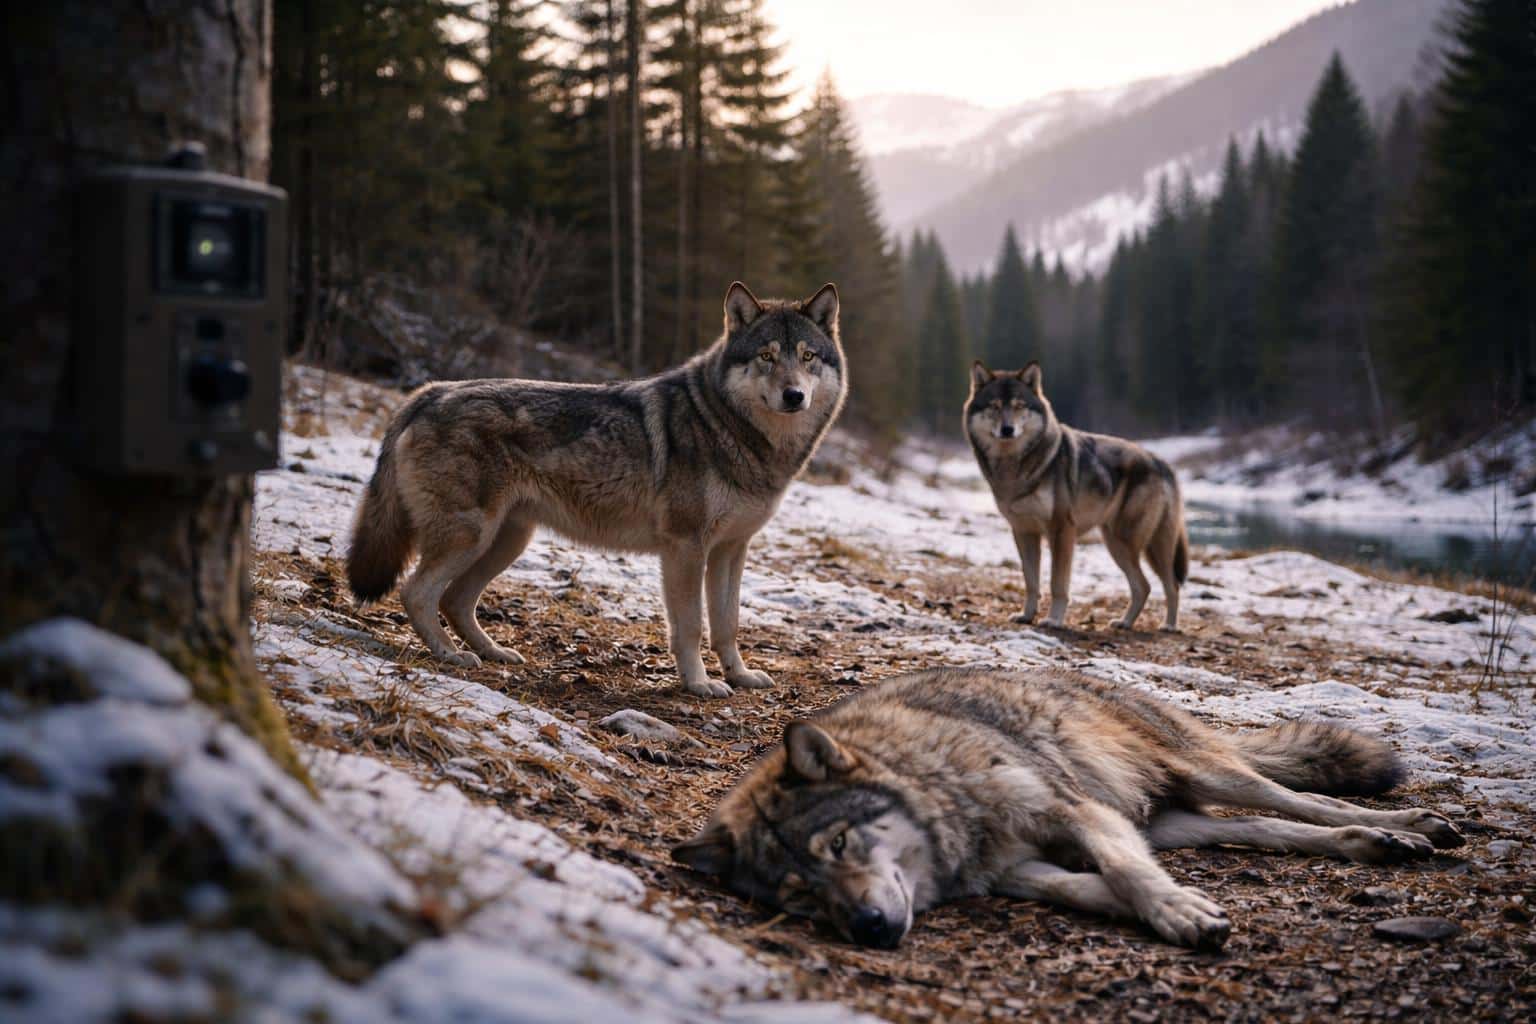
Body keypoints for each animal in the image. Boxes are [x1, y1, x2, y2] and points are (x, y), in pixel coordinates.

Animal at [346, 282, 845, 698]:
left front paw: (739, 676)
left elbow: (728, 624)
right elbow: (690, 627)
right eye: (766, 356)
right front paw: (699, 684)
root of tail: (429, 391)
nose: (794, 396)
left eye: (807, 357)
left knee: (455, 599)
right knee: (417, 593)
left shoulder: (731, 550)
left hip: (506, 541)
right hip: (472, 537)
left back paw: (494, 652)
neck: (732, 430)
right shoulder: (685, 548)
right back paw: (450, 655)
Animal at [674, 667, 1463, 950]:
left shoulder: (1073, 814)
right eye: (800, 898)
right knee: (1271, 830)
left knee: (1300, 799)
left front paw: (1178, 914)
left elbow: (1123, 872)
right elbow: (1099, 888)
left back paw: (1407, 829)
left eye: (837, 846)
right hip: (1173, 823)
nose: (867, 929)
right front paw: (1178, 909)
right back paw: (1372, 844)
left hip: (1205, 774)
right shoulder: (1017, 870)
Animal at [965, 361, 1188, 631]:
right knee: (1143, 586)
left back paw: (1169, 626)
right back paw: (1124, 623)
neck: (1014, 467)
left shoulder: (1061, 530)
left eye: (1019, 406)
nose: (1007, 429)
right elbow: (1031, 582)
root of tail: (1161, 462)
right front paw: (1027, 616)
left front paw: (1053, 620)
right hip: (1117, 545)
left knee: (1171, 585)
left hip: (1140, 545)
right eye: (995, 406)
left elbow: (1057, 584)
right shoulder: (1023, 532)